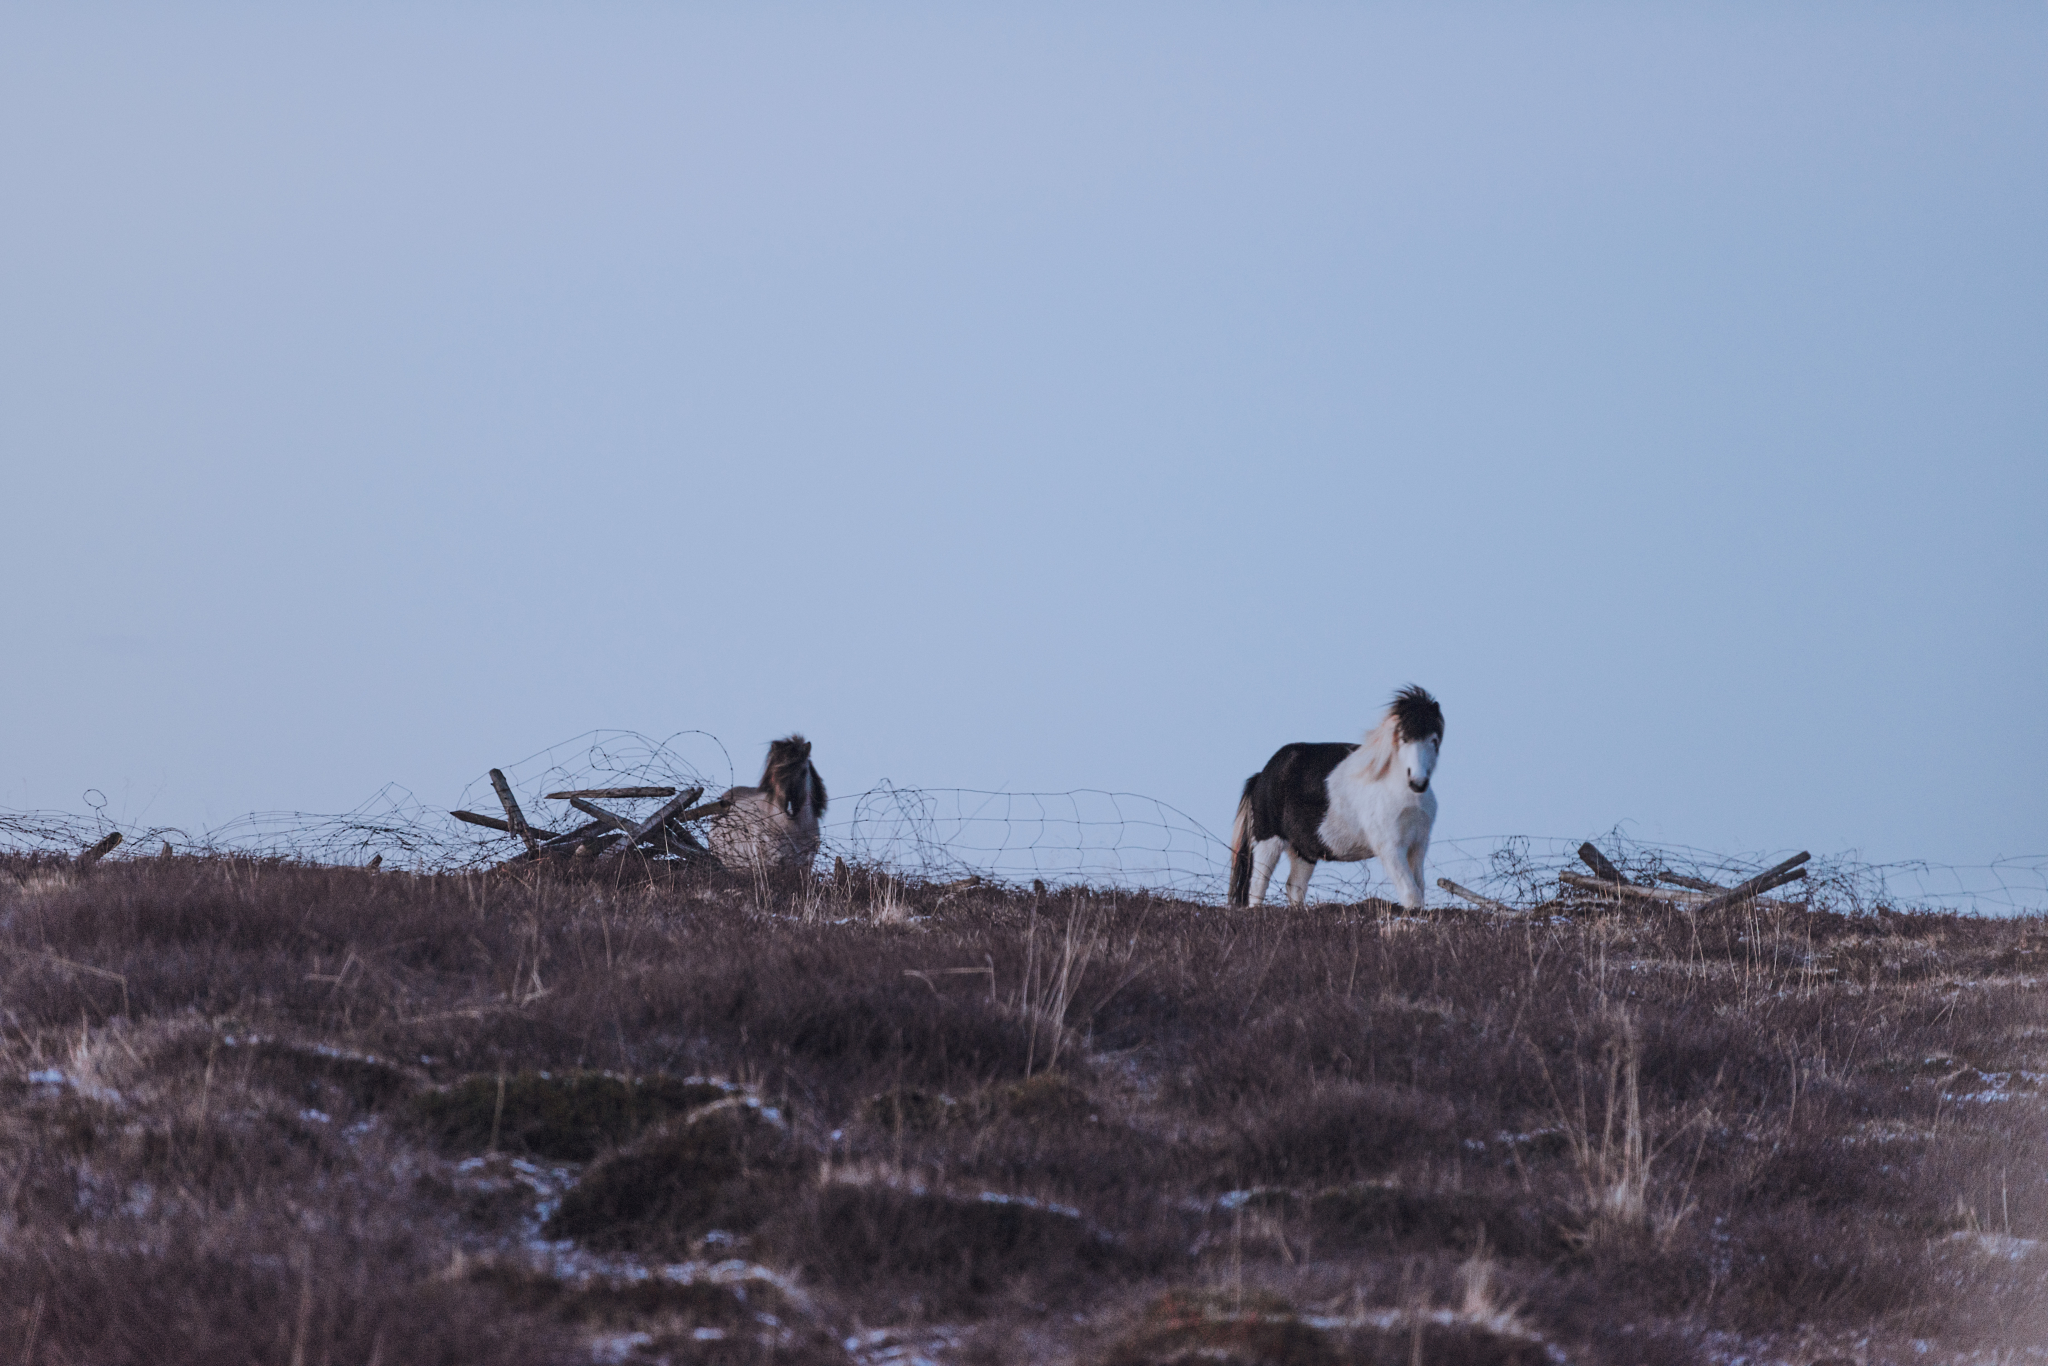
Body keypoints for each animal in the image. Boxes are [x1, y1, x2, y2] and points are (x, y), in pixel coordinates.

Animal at [1220, 688, 1449, 913]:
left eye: (1434, 740)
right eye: (1403, 739)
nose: (1418, 782)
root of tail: (1262, 775)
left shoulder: (1417, 846)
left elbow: (1419, 889)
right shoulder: (1390, 848)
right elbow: (1412, 895)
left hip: (1302, 851)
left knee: (1294, 886)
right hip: (1268, 842)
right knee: (1258, 887)